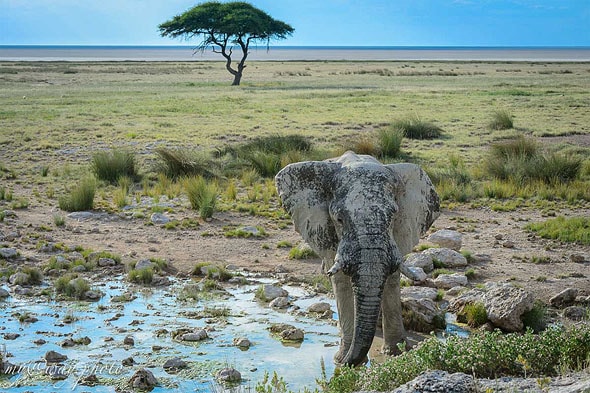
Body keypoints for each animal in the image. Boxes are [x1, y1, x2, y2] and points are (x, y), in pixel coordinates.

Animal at [276, 150, 440, 364]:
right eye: (339, 219)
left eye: (393, 216)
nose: (346, 362)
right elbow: (340, 281)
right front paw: (341, 359)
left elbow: (392, 278)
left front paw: (396, 353)